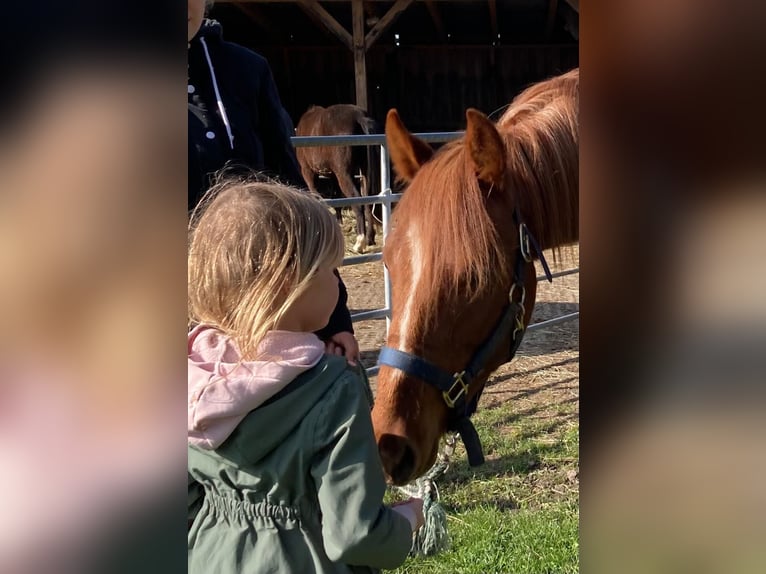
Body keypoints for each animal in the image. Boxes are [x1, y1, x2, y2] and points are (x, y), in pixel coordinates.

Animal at [295, 104, 381, 254]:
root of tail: (358, 116)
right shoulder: (333, 175)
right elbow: (336, 197)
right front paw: (339, 221)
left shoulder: (307, 172)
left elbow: (316, 194)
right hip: (363, 172)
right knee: (368, 200)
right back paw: (370, 238)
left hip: (343, 175)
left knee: (358, 201)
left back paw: (360, 243)